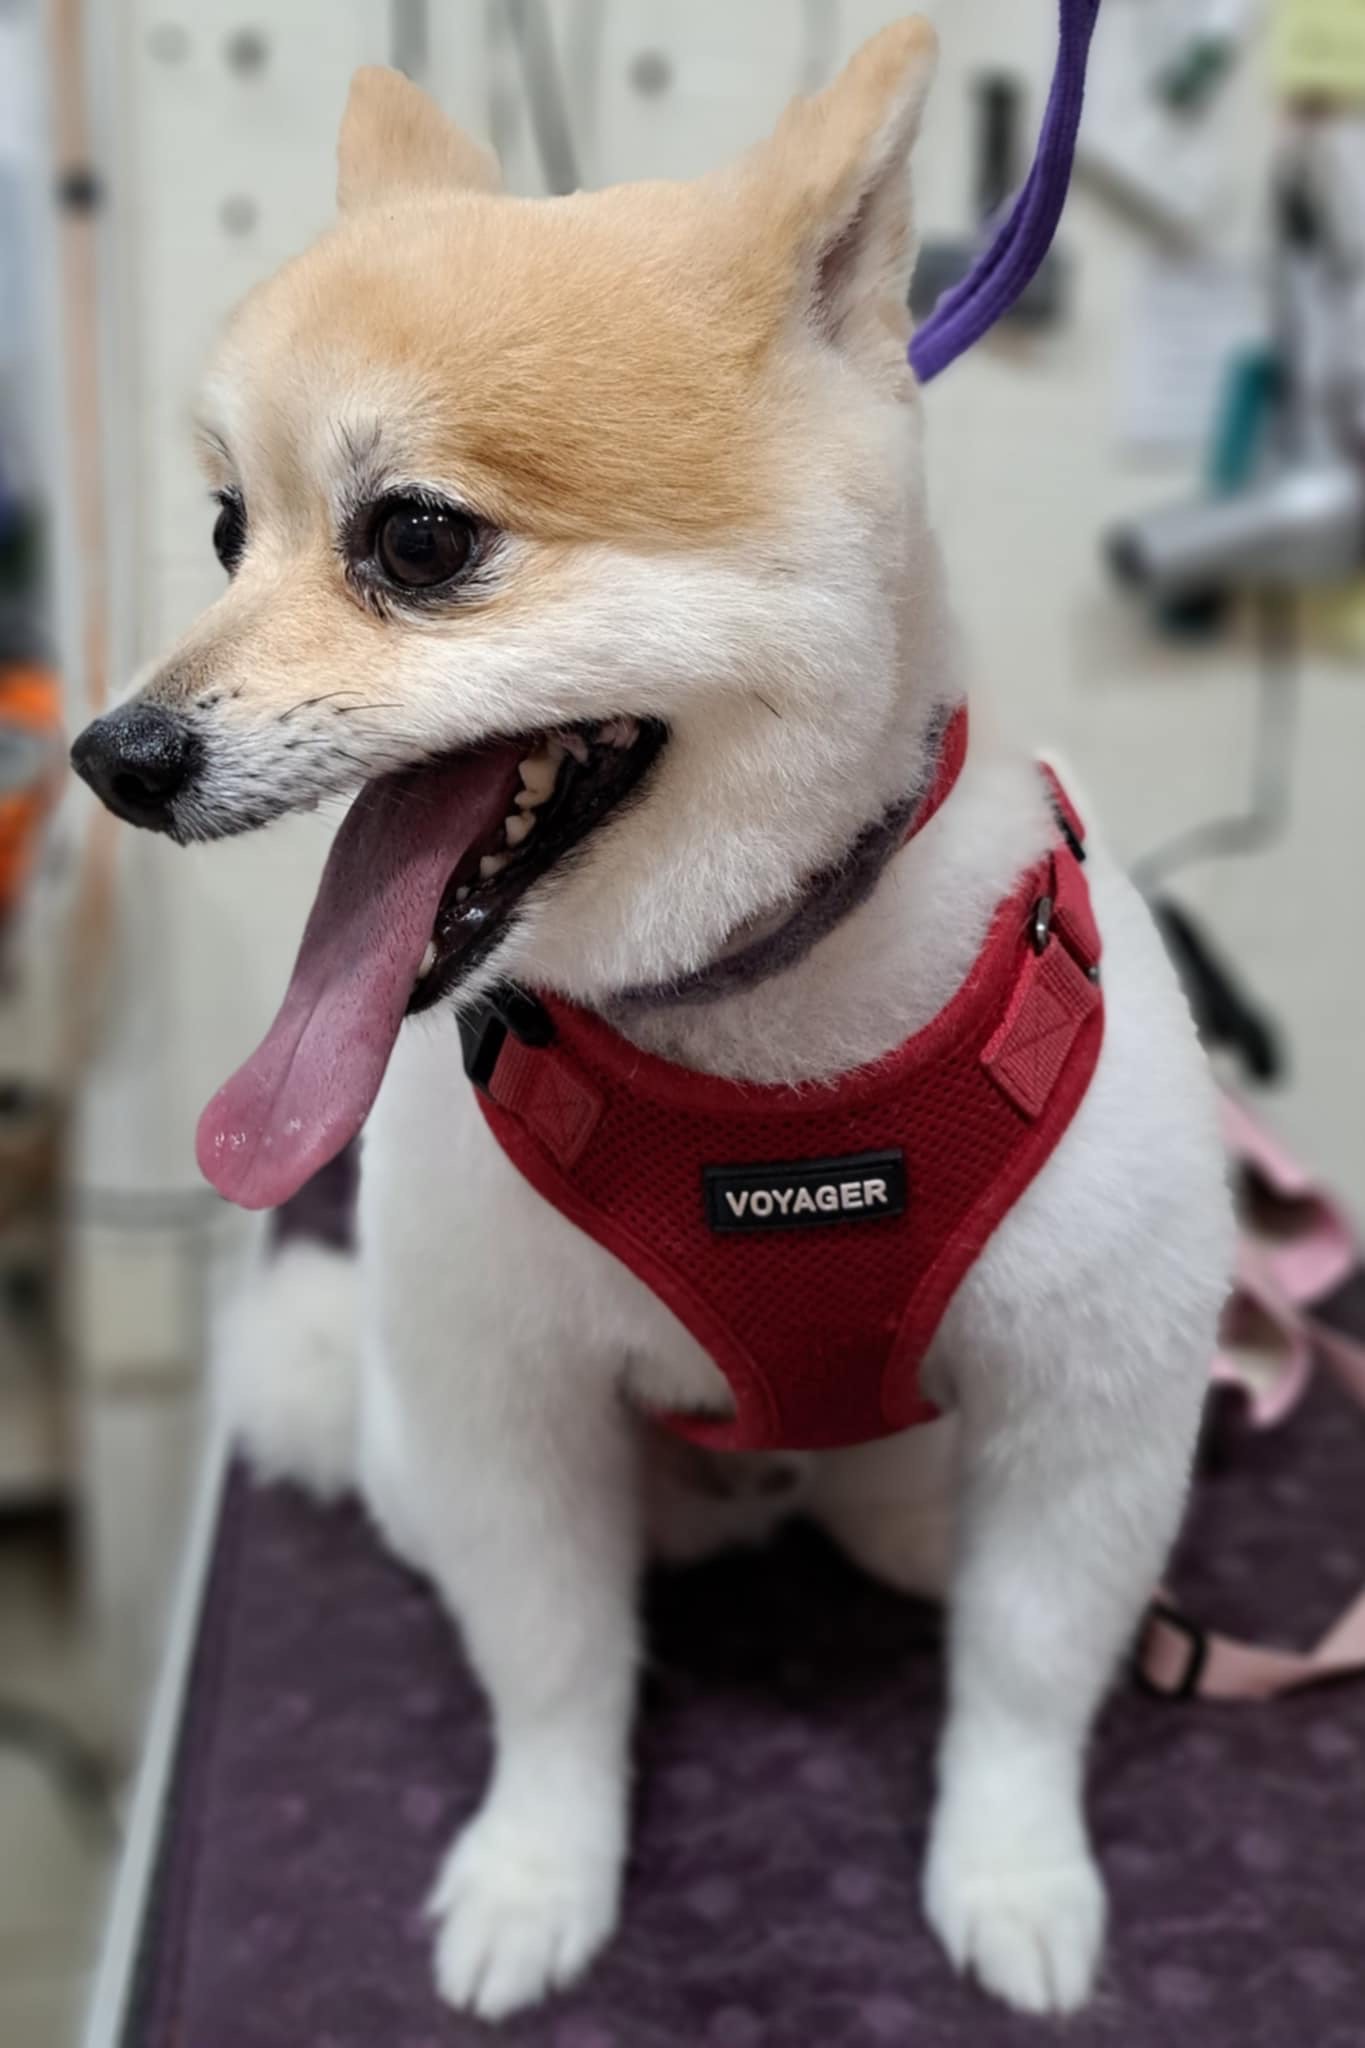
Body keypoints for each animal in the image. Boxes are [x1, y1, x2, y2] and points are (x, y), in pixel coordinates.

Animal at [69, 24, 1236, 2023]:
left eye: (418, 540)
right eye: (228, 532)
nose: (111, 754)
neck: (753, 1024)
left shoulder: (1094, 1403)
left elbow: (1023, 1681)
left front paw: (1010, 1873)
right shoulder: (508, 1409)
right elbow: (553, 1676)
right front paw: (541, 1873)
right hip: (423, 1431)